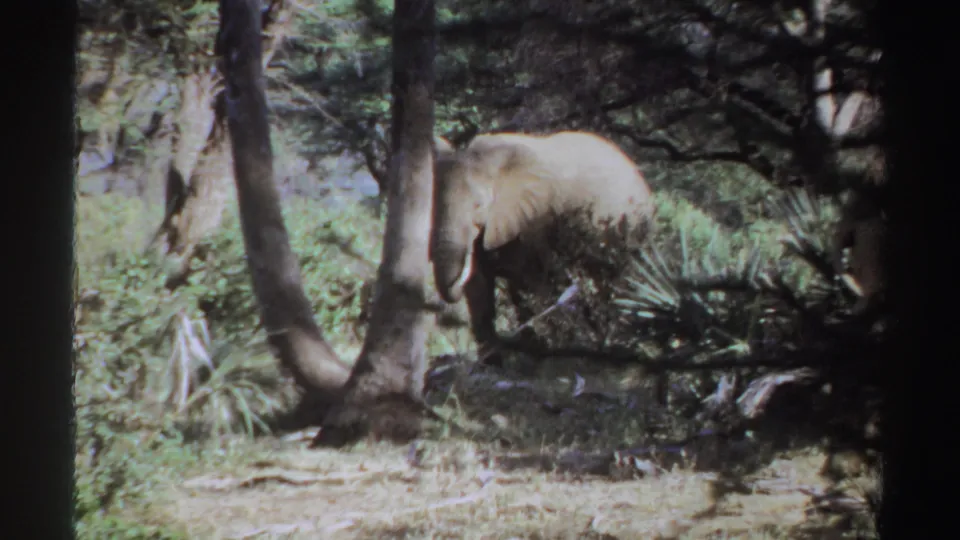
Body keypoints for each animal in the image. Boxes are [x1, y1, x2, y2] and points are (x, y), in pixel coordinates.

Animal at [429, 131, 655, 365]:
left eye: (478, 206)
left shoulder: (535, 220)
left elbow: (527, 285)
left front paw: (532, 358)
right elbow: (479, 287)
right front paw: (491, 364)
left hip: (631, 229)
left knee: (618, 285)